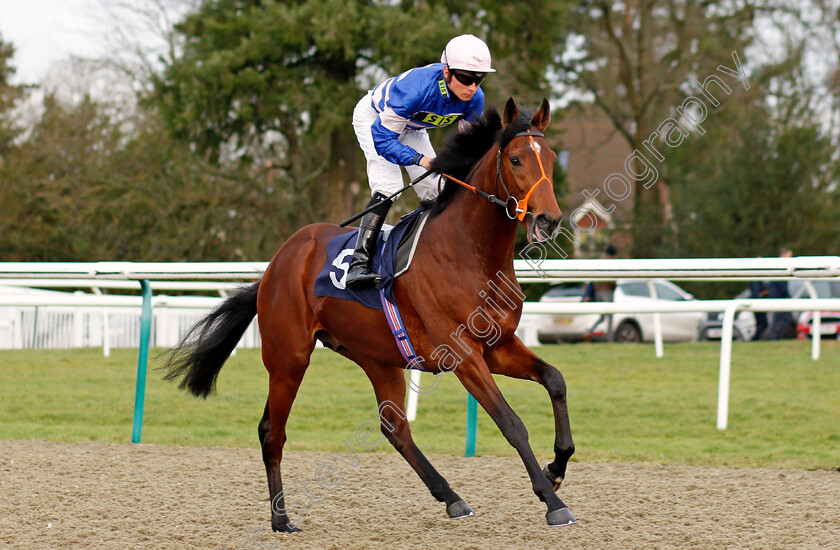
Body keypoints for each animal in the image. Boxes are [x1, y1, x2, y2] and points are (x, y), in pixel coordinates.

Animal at [161, 97, 576, 532]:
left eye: (550, 157)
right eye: (515, 159)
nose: (548, 219)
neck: (469, 251)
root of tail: (277, 262)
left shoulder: (497, 346)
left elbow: (555, 380)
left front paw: (557, 468)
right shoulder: (463, 355)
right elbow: (511, 423)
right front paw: (551, 501)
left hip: (377, 358)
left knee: (394, 427)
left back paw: (452, 498)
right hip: (288, 358)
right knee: (273, 432)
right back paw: (281, 519)